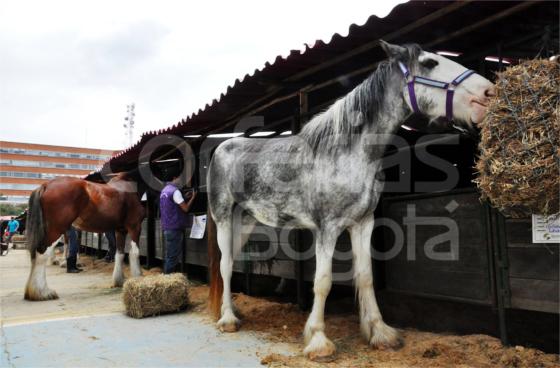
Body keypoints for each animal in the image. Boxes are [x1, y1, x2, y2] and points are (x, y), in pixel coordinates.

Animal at [207, 41, 494, 360]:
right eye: (430, 63)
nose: (488, 91)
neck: (347, 152)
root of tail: (221, 148)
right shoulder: (328, 228)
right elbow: (322, 282)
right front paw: (318, 341)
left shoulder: (363, 222)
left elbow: (366, 277)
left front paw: (380, 334)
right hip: (223, 218)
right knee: (225, 265)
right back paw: (228, 320)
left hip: (244, 221)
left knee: (230, 262)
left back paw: (233, 313)